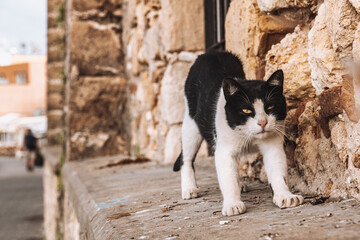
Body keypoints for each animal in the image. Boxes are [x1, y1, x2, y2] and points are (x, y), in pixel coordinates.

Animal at [173, 50, 302, 216]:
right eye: (246, 110)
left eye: (270, 107)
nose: (262, 122)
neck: (249, 136)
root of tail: (211, 52)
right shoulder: (224, 149)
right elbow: (228, 177)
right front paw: (233, 204)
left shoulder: (273, 145)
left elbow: (278, 171)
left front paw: (285, 196)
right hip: (191, 124)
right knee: (186, 158)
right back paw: (189, 188)